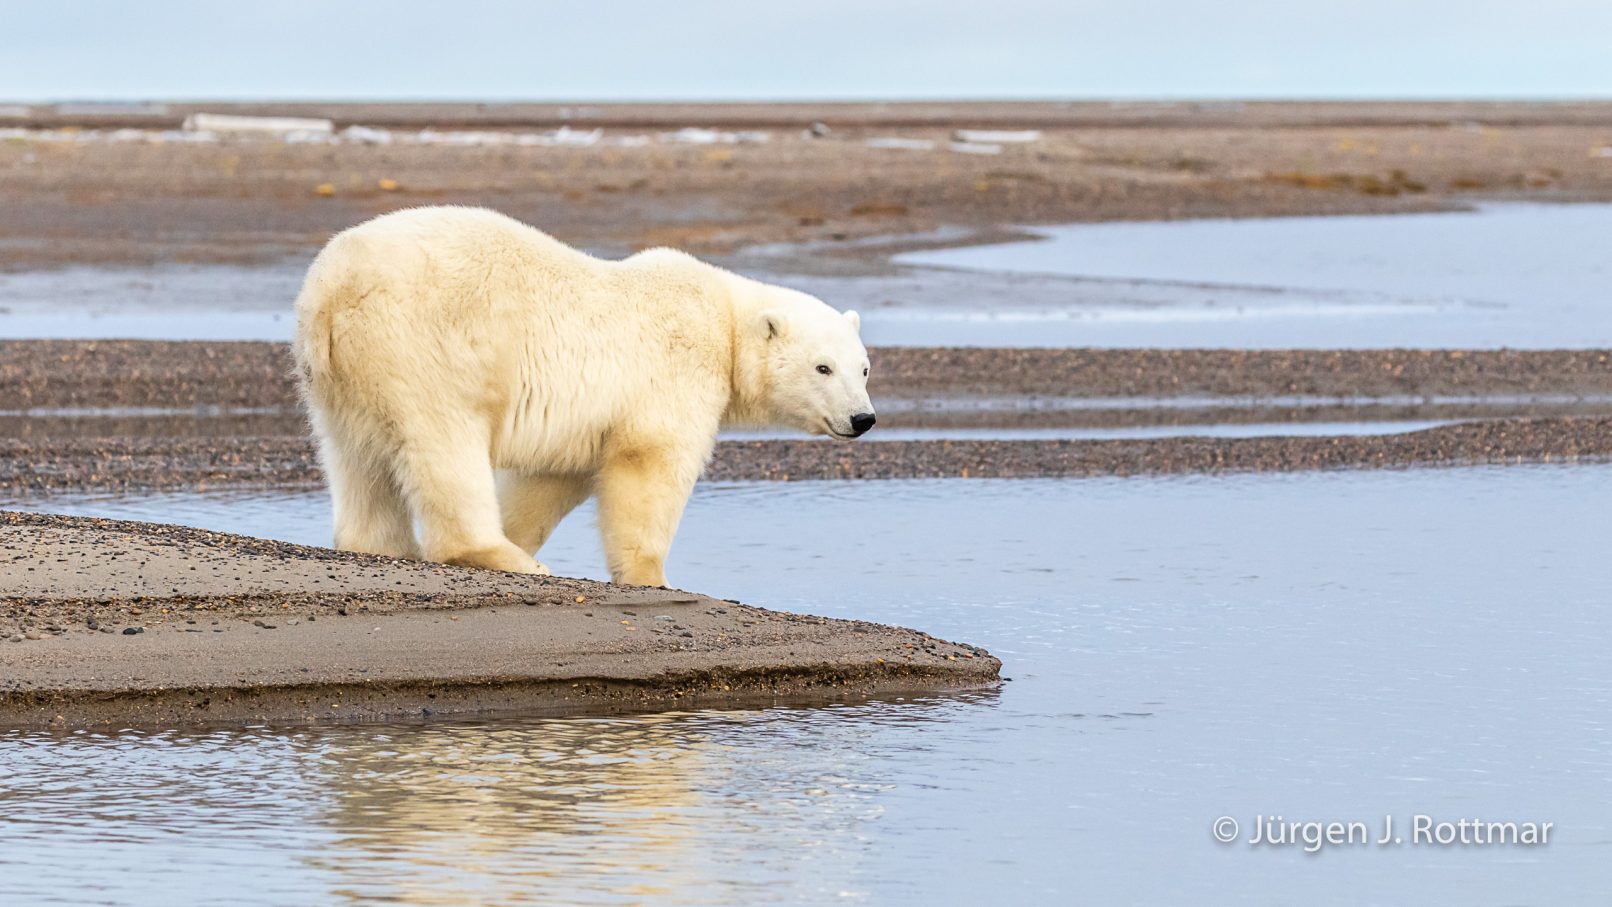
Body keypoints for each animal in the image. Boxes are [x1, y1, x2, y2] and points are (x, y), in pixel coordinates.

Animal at [292, 206, 875, 587]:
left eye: (864, 368)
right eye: (823, 367)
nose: (863, 418)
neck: (726, 321)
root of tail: (332, 289)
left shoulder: (582, 422)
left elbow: (549, 481)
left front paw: (522, 530)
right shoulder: (673, 370)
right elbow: (651, 464)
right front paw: (651, 577)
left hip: (341, 379)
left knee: (356, 457)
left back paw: (382, 545)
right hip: (427, 348)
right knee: (445, 442)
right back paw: (502, 556)